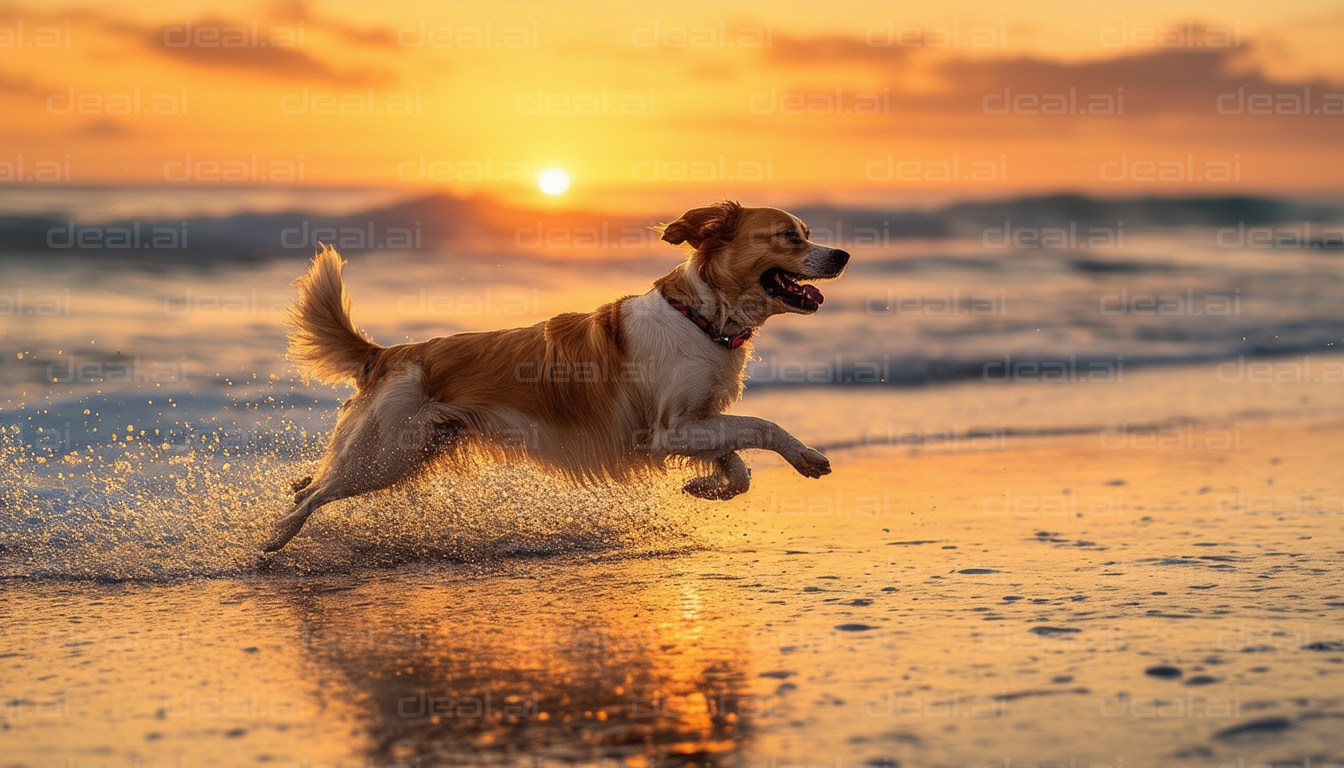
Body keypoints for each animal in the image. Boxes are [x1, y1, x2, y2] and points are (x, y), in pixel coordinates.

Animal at [263, 200, 849, 554]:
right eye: (788, 236)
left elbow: (738, 465)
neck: (700, 317)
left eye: (808, 234)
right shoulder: (670, 428)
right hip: (387, 455)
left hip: (408, 451)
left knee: (312, 483)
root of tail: (389, 353)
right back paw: (273, 540)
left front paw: (704, 486)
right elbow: (761, 426)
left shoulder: (696, 421)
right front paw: (806, 457)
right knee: (316, 493)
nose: (843, 254)